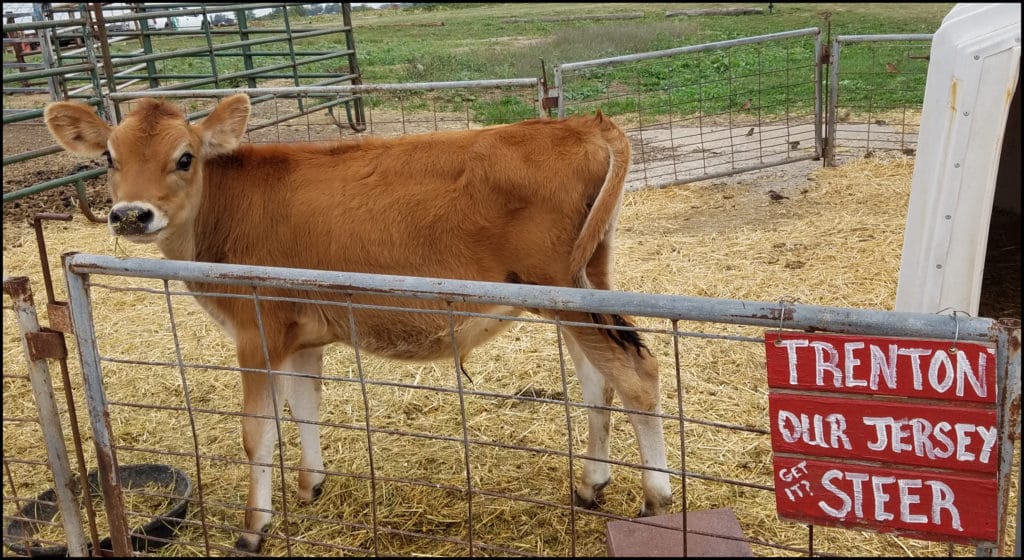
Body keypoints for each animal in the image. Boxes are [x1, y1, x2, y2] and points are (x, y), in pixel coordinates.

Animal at [44, 95, 671, 552]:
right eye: (108, 158)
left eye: (185, 157)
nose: (130, 215)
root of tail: (583, 125)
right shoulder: (298, 335)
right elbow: (304, 405)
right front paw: (311, 484)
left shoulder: (256, 330)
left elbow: (256, 431)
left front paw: (253, 528)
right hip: (584, 283)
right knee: (596, 380)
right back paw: (591, 484)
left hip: (566, 291)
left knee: (637, 374)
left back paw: (656, 500)